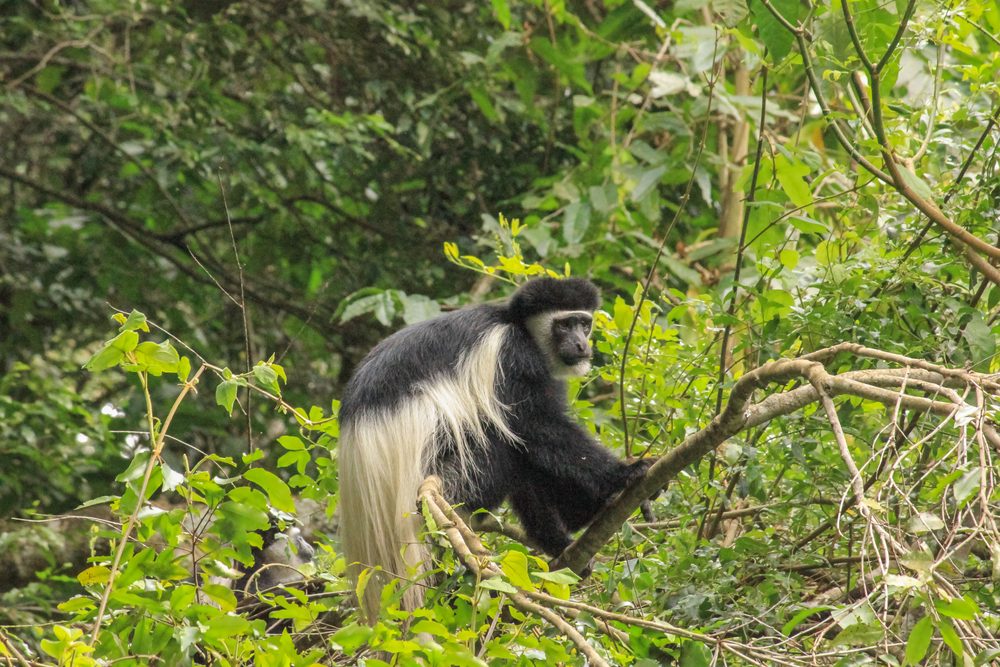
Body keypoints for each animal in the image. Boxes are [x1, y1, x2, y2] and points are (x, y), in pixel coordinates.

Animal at [338, 278, 648, 620]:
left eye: (584, 323)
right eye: (565, 325)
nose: (581, 344)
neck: (515, 323)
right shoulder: (512, 355)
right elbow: (534, 424)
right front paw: (625, 473)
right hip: (459, 475)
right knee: (508, 448)